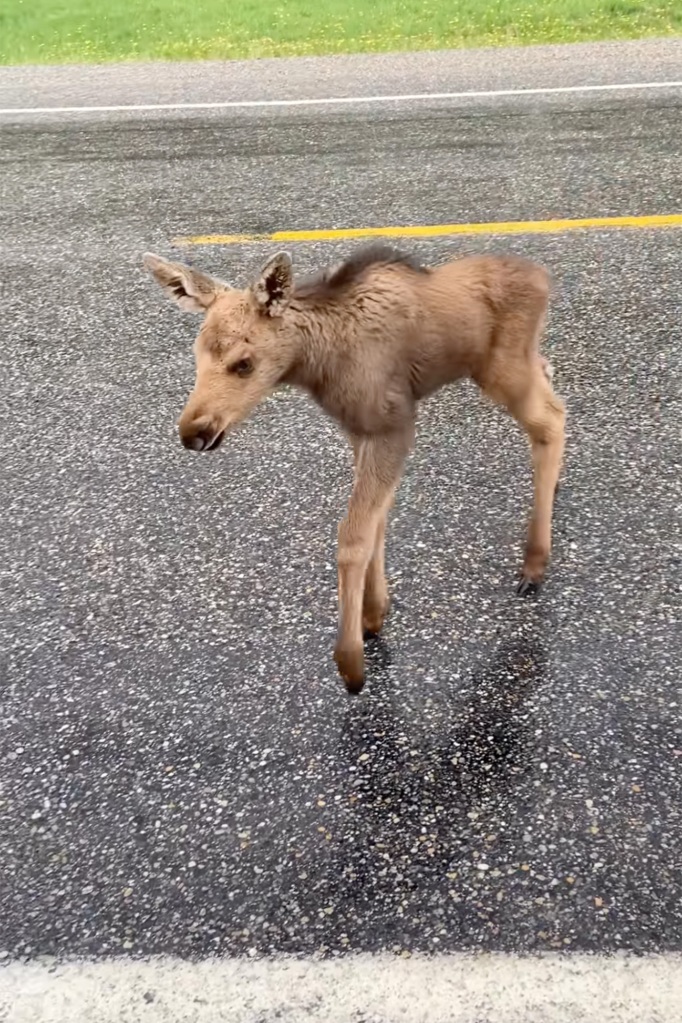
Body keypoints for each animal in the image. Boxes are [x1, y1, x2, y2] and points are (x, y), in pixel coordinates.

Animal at [144, 242, 564, 691]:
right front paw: (375, 609)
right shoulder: (360, 432)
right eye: (197, 354)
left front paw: (351, 660)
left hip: (500, 370)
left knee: (552, 421)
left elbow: (353, 535)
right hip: (515, 364)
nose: (193, 432)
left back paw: (534, 563)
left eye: (244, 363)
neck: (318, 365)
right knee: (549, 378)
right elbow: (377, 519)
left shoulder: (392, 427)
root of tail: (544, 277)